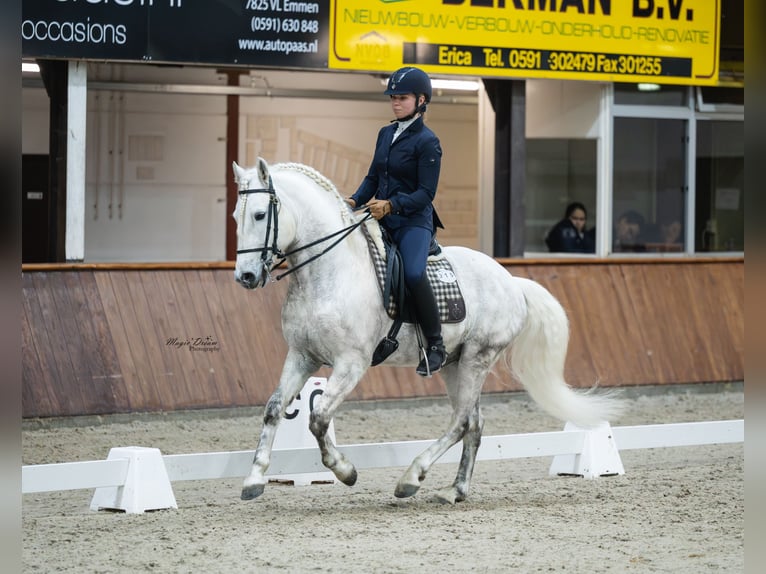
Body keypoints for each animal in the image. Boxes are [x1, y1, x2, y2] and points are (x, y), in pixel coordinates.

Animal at [232, 158, 623, 504]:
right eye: (236, 216)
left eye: (260, 215)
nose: (245, 277)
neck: (329, 272)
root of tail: (511, 280)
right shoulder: (303, 356)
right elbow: (274, 408)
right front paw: (254, 480)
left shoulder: (351, 363)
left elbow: (318, 417)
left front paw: (345, 471)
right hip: (454, 364)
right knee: (474, 423)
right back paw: (455, 490)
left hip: (478, 358)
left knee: (462, 421)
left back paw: (411, 478)